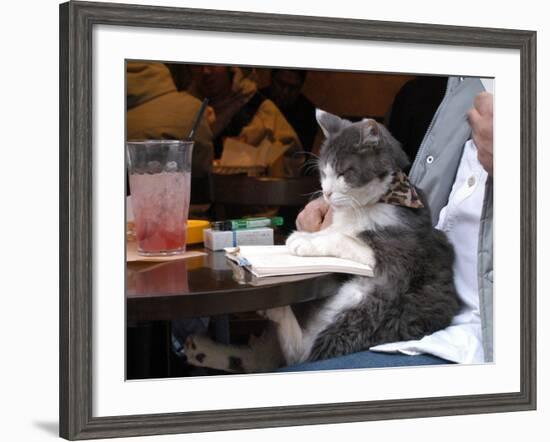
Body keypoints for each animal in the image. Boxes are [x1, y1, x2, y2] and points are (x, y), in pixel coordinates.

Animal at [185, 111, 462, 372]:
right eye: (324, 172)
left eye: (343, 173)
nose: (326, 193)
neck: (368, 204)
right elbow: (334, 230)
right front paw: (308, 234)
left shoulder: (398, 255)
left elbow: (343, 238)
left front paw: (303, 242)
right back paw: (200, 350)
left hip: (369, 308)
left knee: (303, 354)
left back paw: (275, 313)